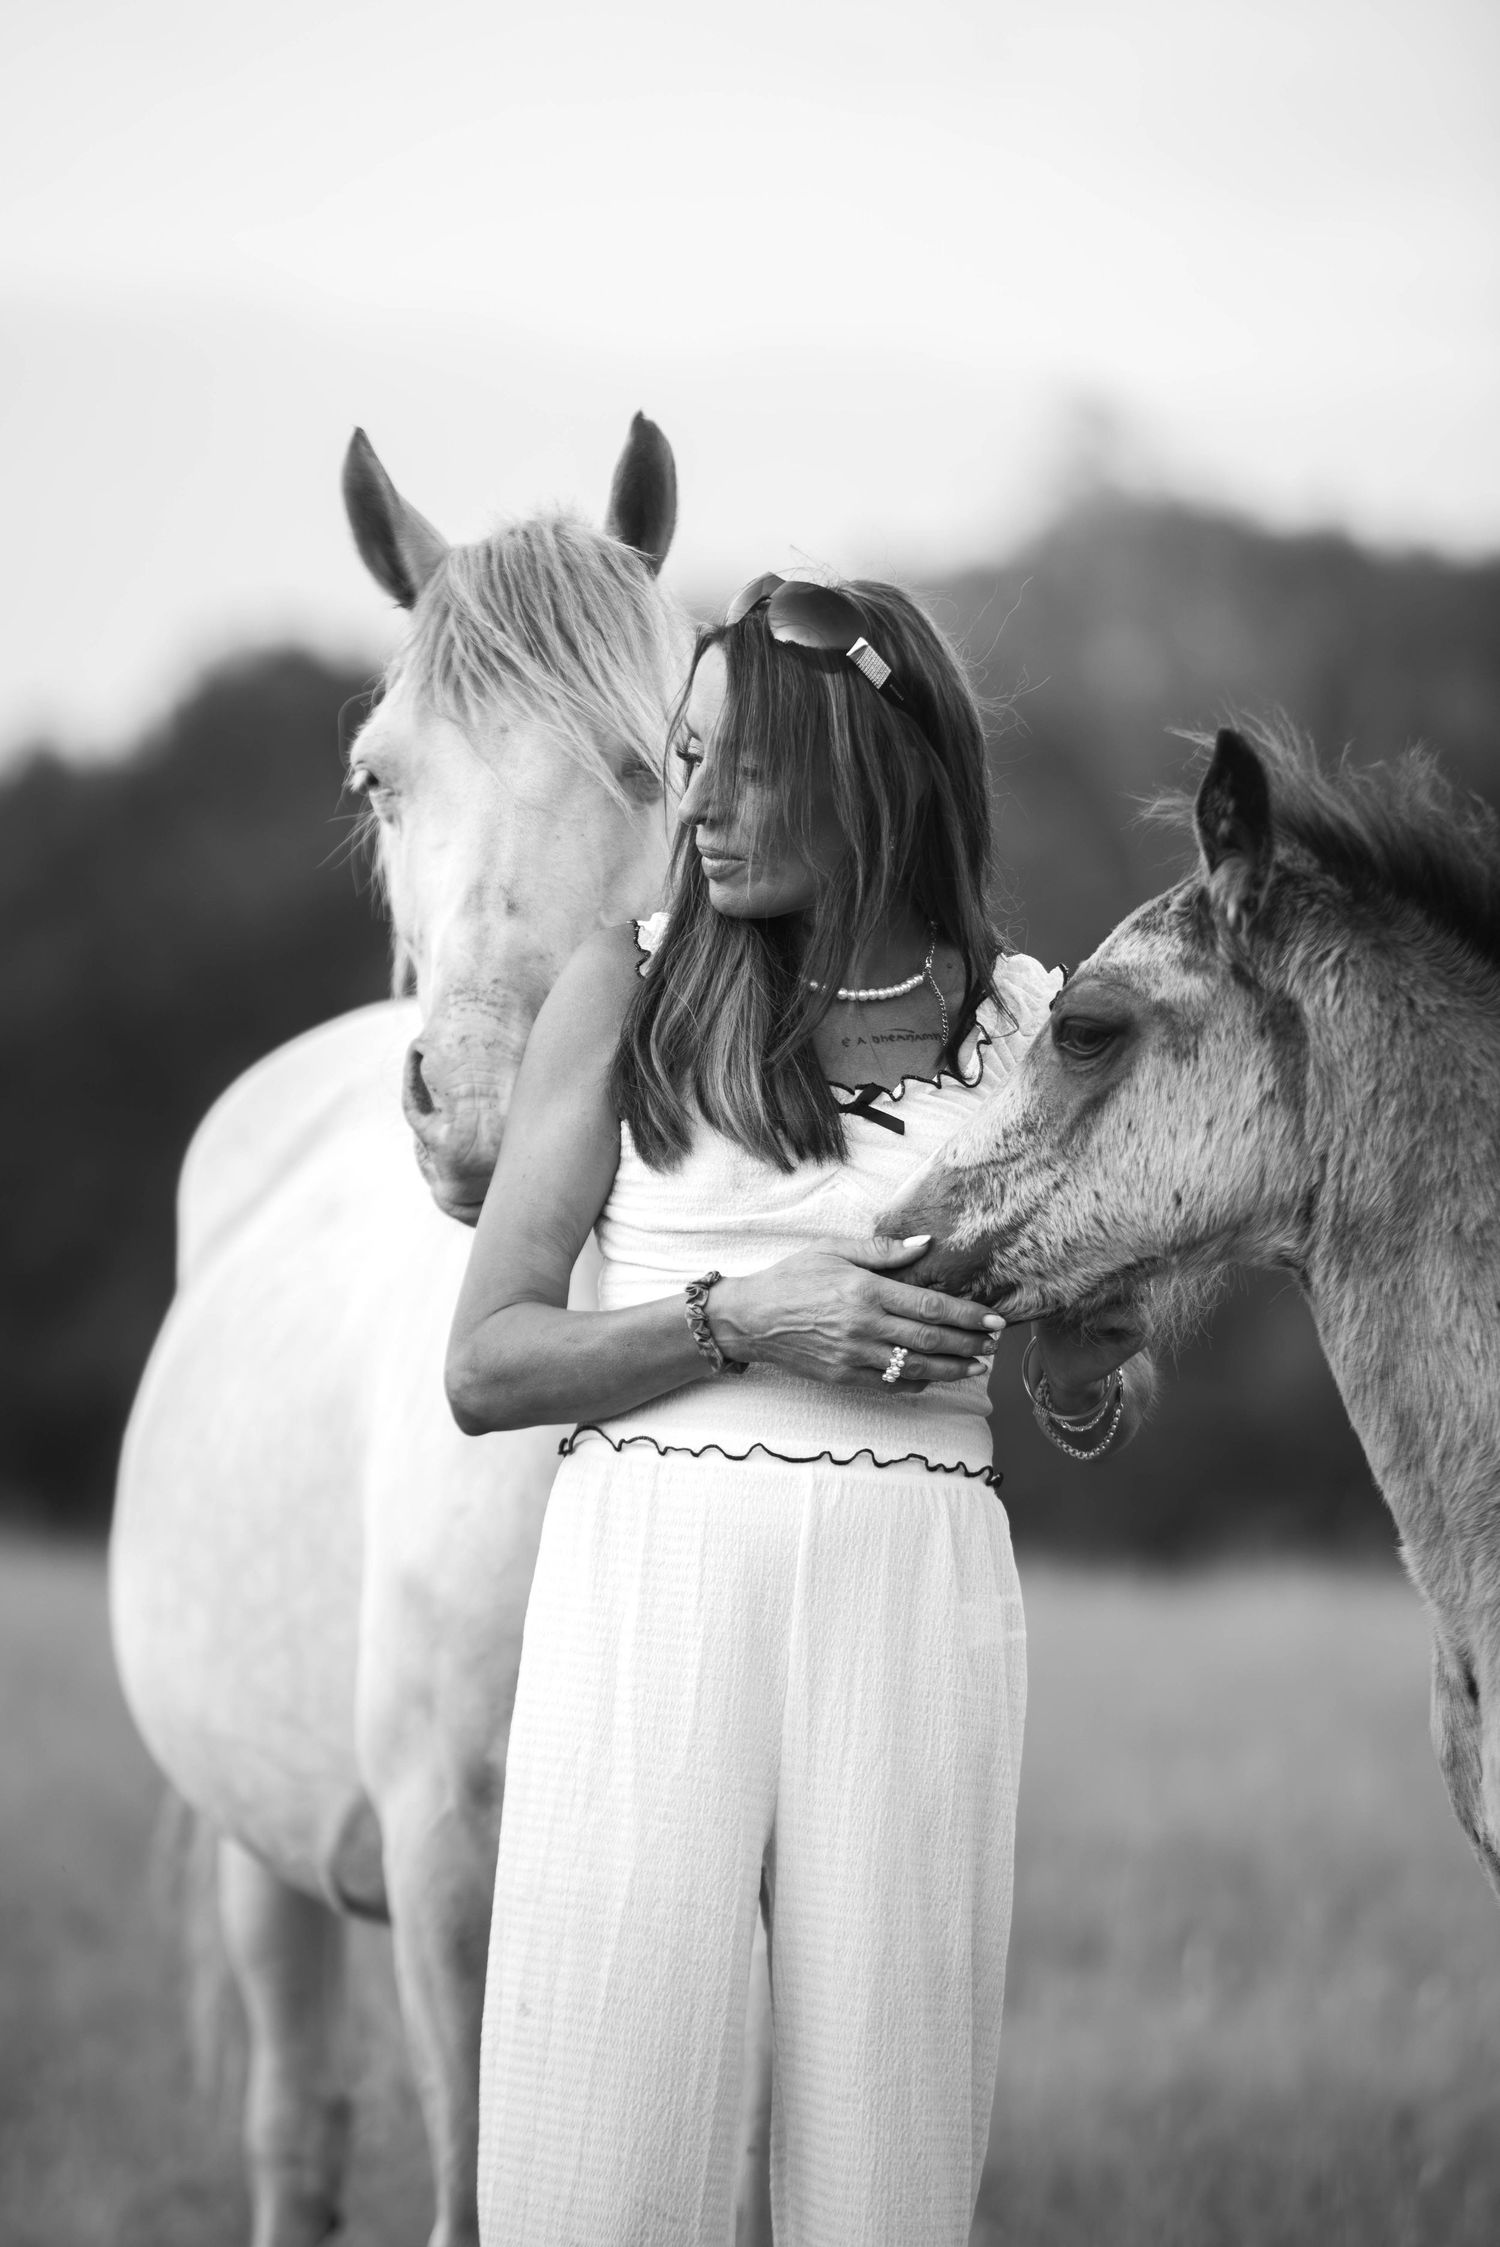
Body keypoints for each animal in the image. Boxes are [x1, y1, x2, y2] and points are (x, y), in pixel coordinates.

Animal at [111, 417, 774, 2247]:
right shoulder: (451, 1858)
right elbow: (479, 2179)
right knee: (300, 2126)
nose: (478, 1106)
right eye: (375, 777)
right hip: (266, 1860)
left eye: (656, 765)